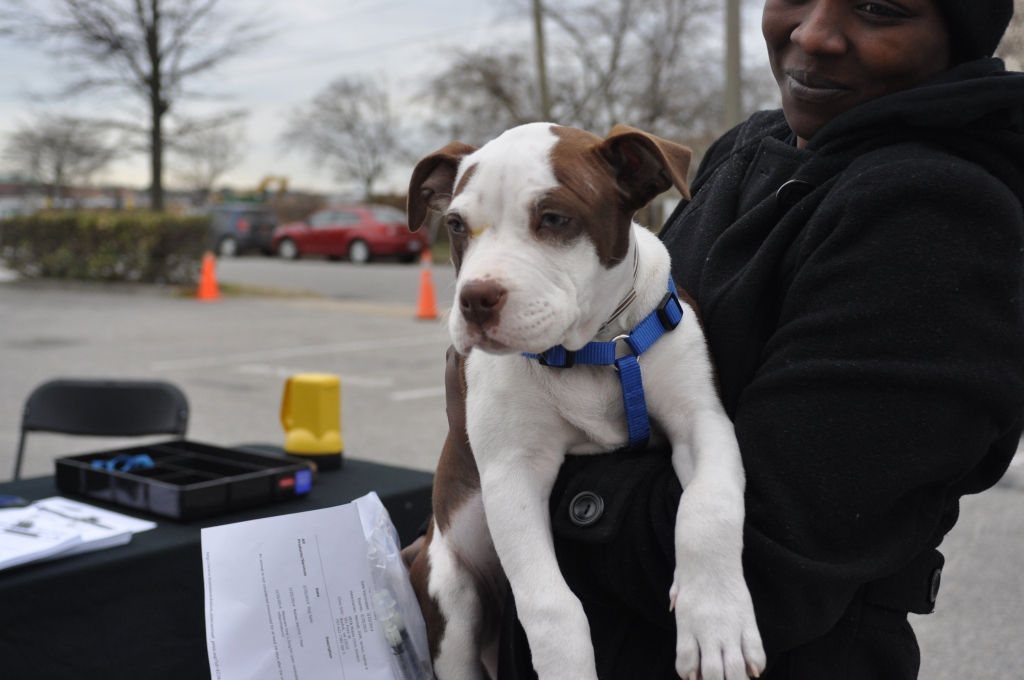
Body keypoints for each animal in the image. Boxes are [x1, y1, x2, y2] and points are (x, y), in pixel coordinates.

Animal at [403, 123, 765, 680]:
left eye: (554, 219)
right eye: (457, 225)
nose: (474, 300)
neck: (592, 349)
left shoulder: (703, 421)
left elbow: (710, 508)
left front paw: (717, 622)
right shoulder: (511, 470)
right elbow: (549, 604)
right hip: (452, 596)